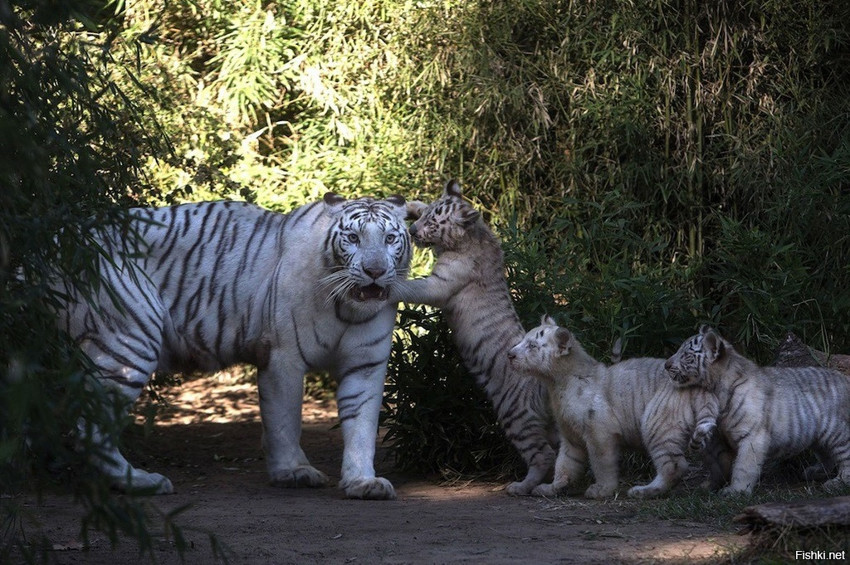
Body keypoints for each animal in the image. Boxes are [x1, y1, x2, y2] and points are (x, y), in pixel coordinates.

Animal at [57, 194, 410, 498]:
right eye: (352, 238)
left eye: (390, 239)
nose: (375, 271)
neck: (347, 308)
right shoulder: (283, 357)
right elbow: (284, 419)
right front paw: (292, 471)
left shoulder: (365, 366)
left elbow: (362, 425)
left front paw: (362, 481)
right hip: (130, 338)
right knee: (89, 426)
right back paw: (139, 482)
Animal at [392, 180, 552, 494]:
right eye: (425, 216)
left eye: (434, 223)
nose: (413, 231)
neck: (472, 235)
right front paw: (409, 204)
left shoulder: (440, 285)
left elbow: (413, 288)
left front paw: (386, 285)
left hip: (517, 417)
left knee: (543, 456)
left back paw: (521, 487)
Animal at [510, 318, 716, 498]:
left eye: (532, 345)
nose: (510, 354)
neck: (557, 383)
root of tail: (698, 385)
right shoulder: (570, 434)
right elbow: (565, 462)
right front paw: (552, 487)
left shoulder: (599, 430)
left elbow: (601, 462)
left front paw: (601, 490)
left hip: (656, 421)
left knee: (674, 465)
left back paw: (643, 491)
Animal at [664, 326, 848, 494]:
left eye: (686, 355)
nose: (666, 365)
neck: (716, 390)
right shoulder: (719, 438)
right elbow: (718, 464)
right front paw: (710, 486)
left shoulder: (752, 435)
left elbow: (743, 466)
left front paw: (735, 491)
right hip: (819, 436)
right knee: (826, 454)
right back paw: (815, 472)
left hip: (837, 432)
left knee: (846, 457)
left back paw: (838, 482)